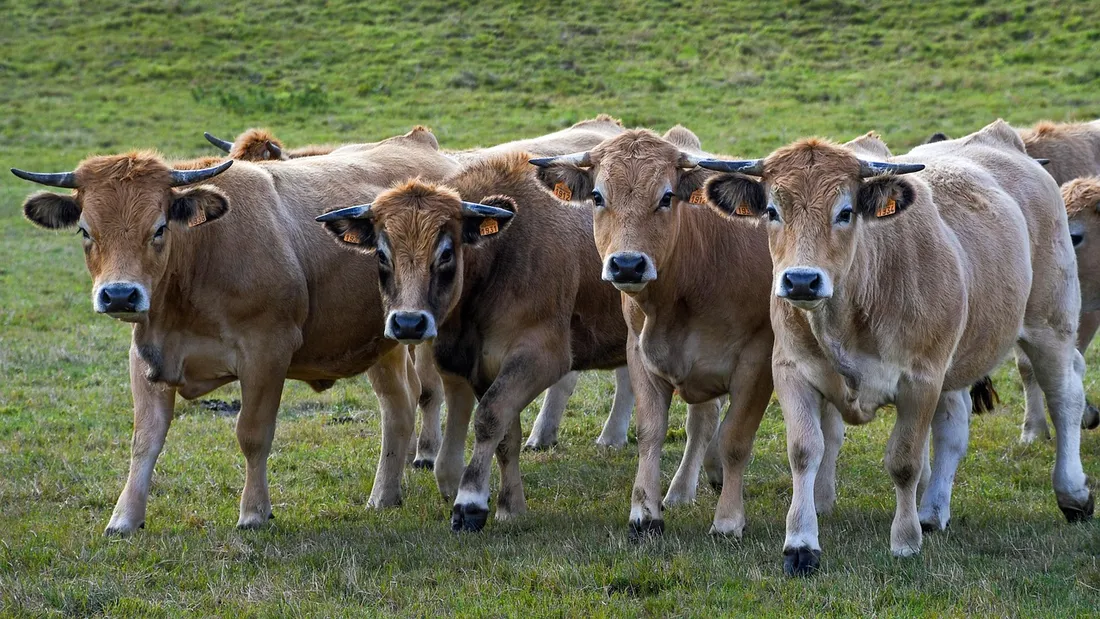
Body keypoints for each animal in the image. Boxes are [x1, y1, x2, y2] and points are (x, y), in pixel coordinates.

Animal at [11, 126, 458, 534]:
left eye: (159, 228)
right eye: (85, 231)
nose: (119, 294)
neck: (200, 257)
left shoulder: (266, 353)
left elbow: (252, 433)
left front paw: (254, 512)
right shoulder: (147, 356)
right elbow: (145, 440)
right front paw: (124, 518)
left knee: (427, 395)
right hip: (386, 343)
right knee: (398, 406)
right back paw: (384, 495)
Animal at [316, 151, 723, 531]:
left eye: (445, 253)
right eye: (382, 255)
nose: (408, 323)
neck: (502, 256)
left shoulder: (541, 356)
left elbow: (488, 418)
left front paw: (470, 502)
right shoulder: (483, 366)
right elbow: (504, 433)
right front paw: (510, 506)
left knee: (702, 417)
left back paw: (682, 490)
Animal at [528, 127, 845, 539]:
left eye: (666, 196)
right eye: (598, 196)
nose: (627, 264)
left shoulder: (757, 361)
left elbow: (736, 439)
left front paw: (728, 519)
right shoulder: (640, 353)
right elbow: (651, 431)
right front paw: (645, 512)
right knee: (703, 422)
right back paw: (684, 488)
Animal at [701, 120, 1093, 577]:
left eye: (845, 212)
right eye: (772, 211)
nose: (801, 280)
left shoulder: (920, 379)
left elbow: (904, 461)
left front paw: (905, 541)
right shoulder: (792, 371)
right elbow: (804, 451)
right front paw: (800, 544)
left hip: (1050, 323)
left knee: (1065, 397)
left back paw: (1073, 494)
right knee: (953, 427)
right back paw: (933, 510)